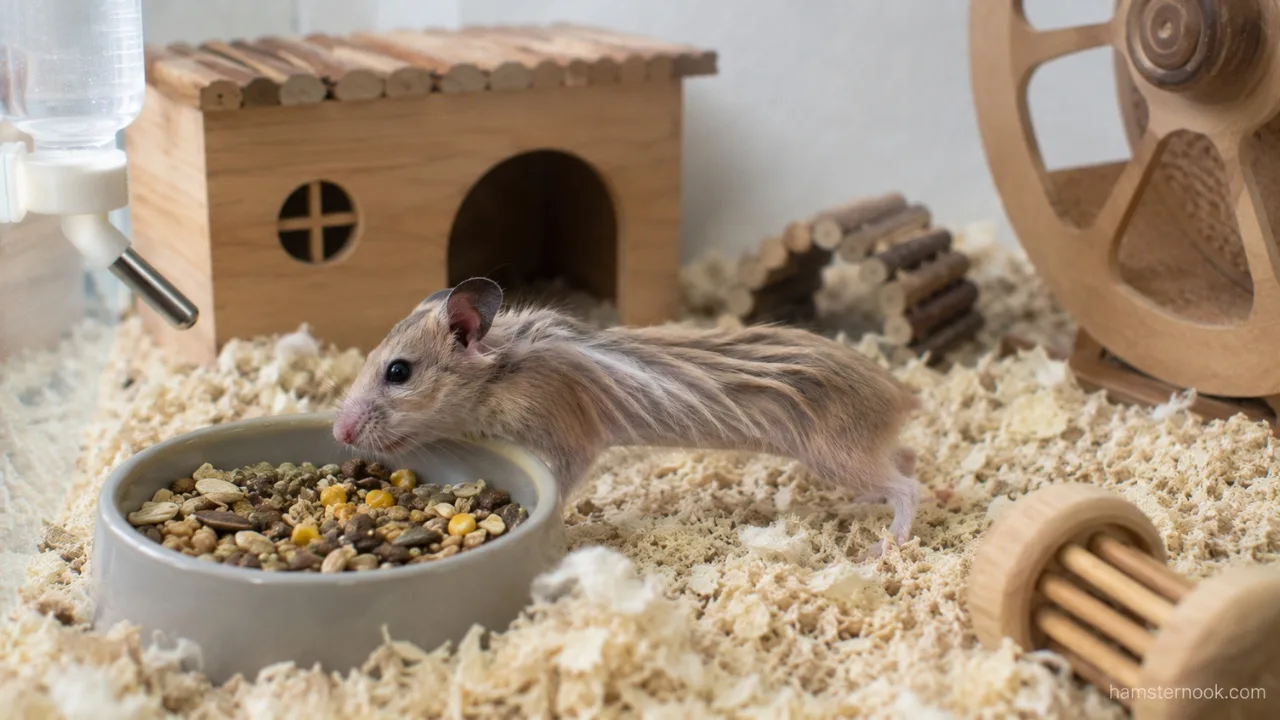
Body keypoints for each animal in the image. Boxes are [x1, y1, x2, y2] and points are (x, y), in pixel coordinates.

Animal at [333, 277, 924, 555]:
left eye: (398, 372)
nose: (339, 430)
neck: (504, 368)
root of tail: (902, 394)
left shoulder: (570, 443)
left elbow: (563, 487)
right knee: (909, 460)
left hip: (835, 454)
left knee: (907, 488)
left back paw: (882, 545)